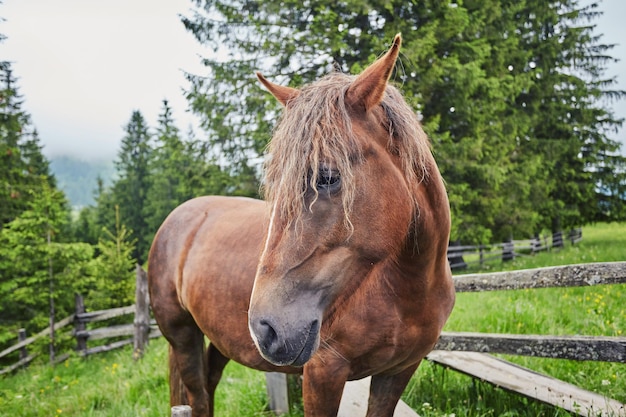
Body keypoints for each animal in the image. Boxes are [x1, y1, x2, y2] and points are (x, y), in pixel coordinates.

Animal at [151, 35, 454, 416]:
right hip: (182, 335)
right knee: (199, 396)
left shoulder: (398, 371)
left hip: (219, 342)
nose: (265, 329)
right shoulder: (324, 372)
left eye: (327, 177)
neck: (407, 289)